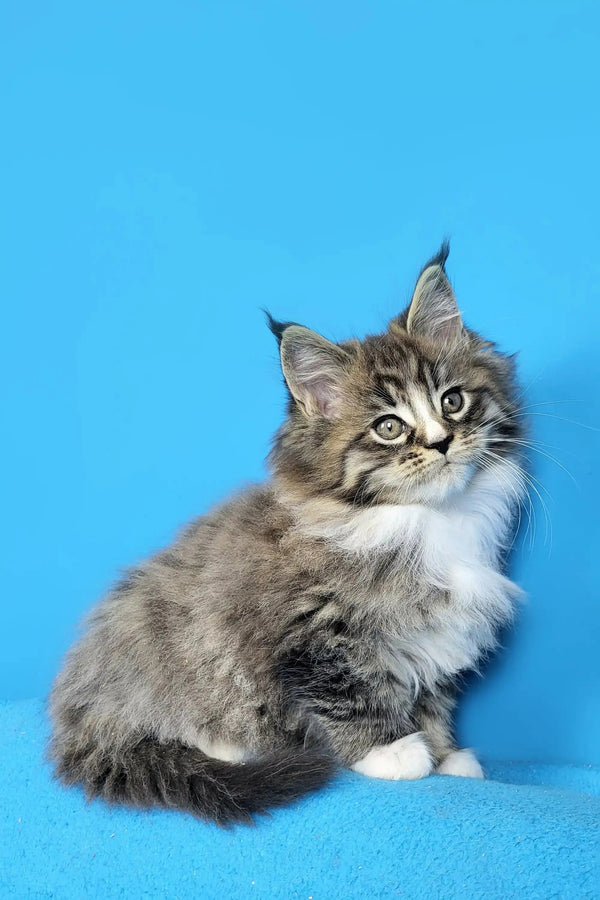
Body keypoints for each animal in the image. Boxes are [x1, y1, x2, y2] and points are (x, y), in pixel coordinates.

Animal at [49, 244, 524, 824]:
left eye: (452, 401)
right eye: (388, 427)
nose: (441, 442)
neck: (426, 520)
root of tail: (76, 713)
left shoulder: (435, 637)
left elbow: (432, 694)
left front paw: (445, 752)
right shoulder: (305, 631)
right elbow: (347, 688)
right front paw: (394, 751)